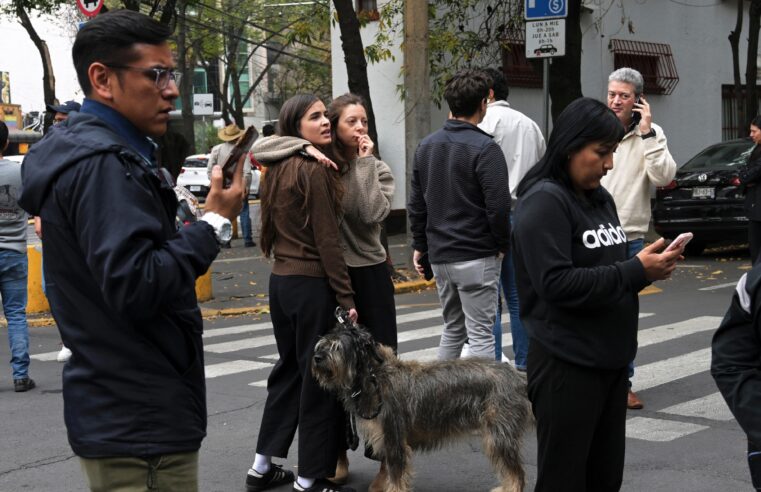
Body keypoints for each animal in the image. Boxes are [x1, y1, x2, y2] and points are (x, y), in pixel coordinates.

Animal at [312, 320, 532, 490]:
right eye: (322, 344)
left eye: (337, 347)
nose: (316, 358)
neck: (374, 378)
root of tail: (517, 377)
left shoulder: (394, 442)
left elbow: (397, 481)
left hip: (499, 438)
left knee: (517, 474)